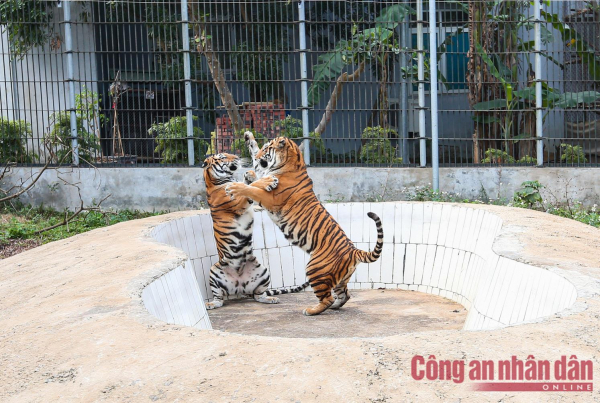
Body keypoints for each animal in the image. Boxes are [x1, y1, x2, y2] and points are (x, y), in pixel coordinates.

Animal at [203, 153, 310, 310]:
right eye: (222, 157)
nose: (236, 156)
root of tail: (239, 287)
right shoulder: (237, 202)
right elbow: (249, 187)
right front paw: (269, 180)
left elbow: (248, 185)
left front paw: (250, 175)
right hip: (214, 271)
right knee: (220, 299)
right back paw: (210, 304)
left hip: (263, 272)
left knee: (258, 295)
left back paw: (271, 299)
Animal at [225, 134, 384, 318]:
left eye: (267, 148)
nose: (258, 158)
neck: (289, 162)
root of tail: (353, 251)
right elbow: (256, 172)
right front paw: (249, 144)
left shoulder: (271, 198)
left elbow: (251, 189)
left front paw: (235, 186)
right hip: (340, 279)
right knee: (344, 295)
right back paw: (335, 306)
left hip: (315, 269)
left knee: (327, 298)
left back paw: (311, 310)